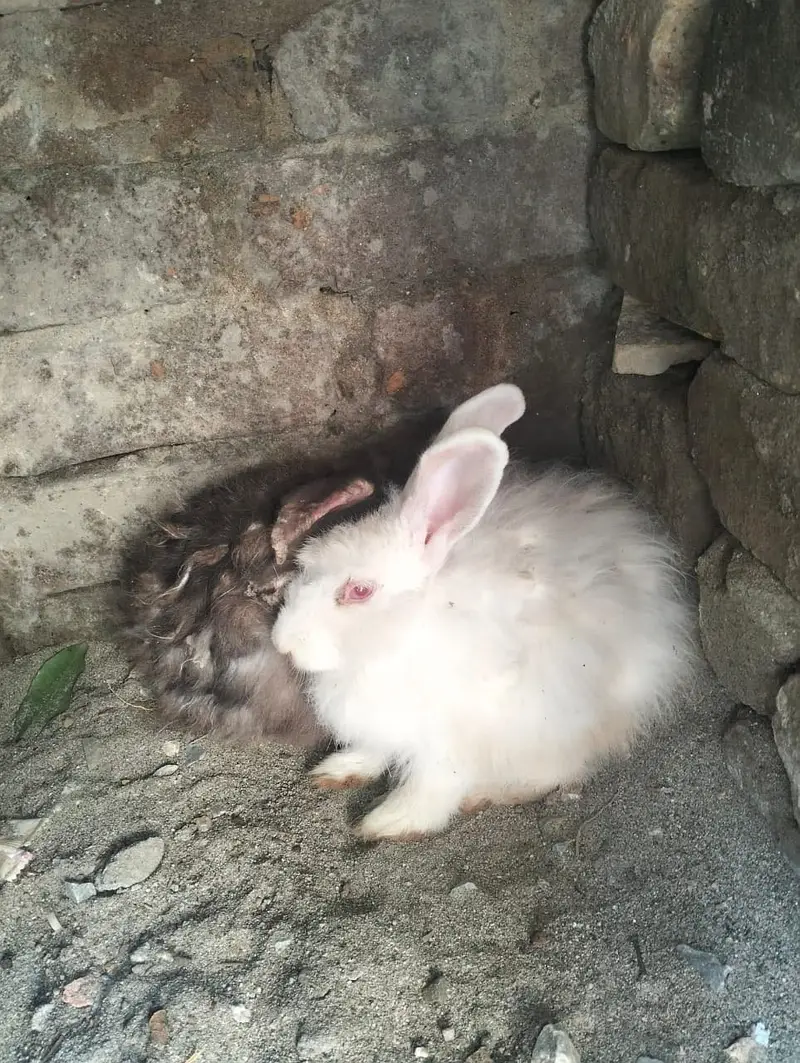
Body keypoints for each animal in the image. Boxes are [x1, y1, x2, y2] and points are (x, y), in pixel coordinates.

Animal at [272, 383, 696, 840]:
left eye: (359, 591)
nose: (283, 643)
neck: (404, 633)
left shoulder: (452, 738)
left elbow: (432, 786)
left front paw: (390, 822)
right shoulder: (382, 726)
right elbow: (373, 750)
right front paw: (339, 770)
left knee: (558, 769)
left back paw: (491, 793)